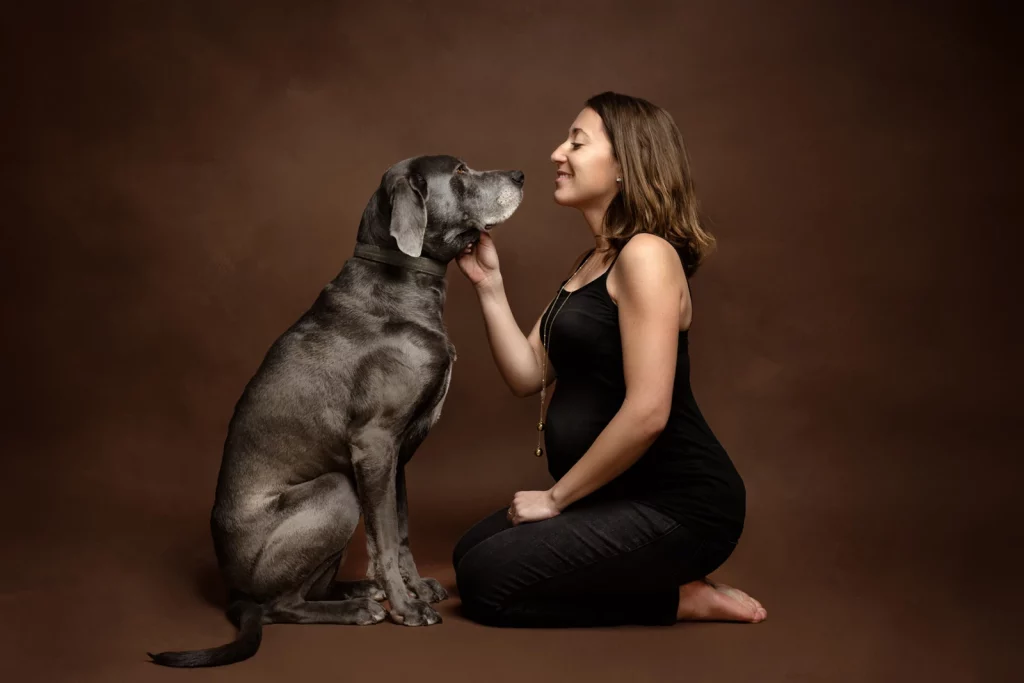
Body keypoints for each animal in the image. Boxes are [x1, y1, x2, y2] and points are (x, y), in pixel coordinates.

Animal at [149, 154, 528, 667]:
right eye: (460, 172)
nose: (521, 176)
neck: (403, 284)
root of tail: (233, 594)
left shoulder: (396, 455)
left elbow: (398, 531)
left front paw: (414, 589)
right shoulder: (375, 443)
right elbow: (383, 539)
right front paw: (407, 608)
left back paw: (359, 592)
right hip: (335, 491)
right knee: (280, 606)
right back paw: (358, 609)